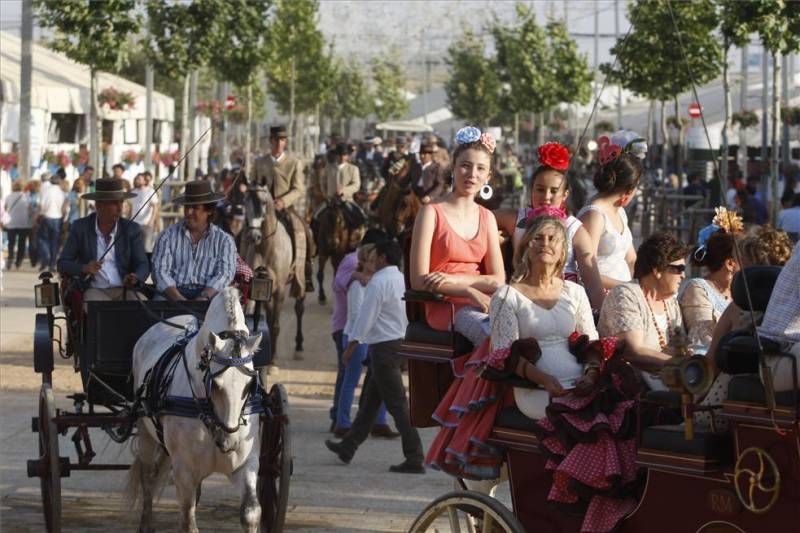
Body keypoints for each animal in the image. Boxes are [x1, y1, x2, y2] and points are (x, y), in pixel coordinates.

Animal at [126, 286, 260, 532]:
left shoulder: (246, 464)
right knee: (148, 478)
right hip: (146, 434)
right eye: (215, 385)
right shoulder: (184, 471)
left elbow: (250, 513)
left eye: (249, 386)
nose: (230, 442)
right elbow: (188, 521)